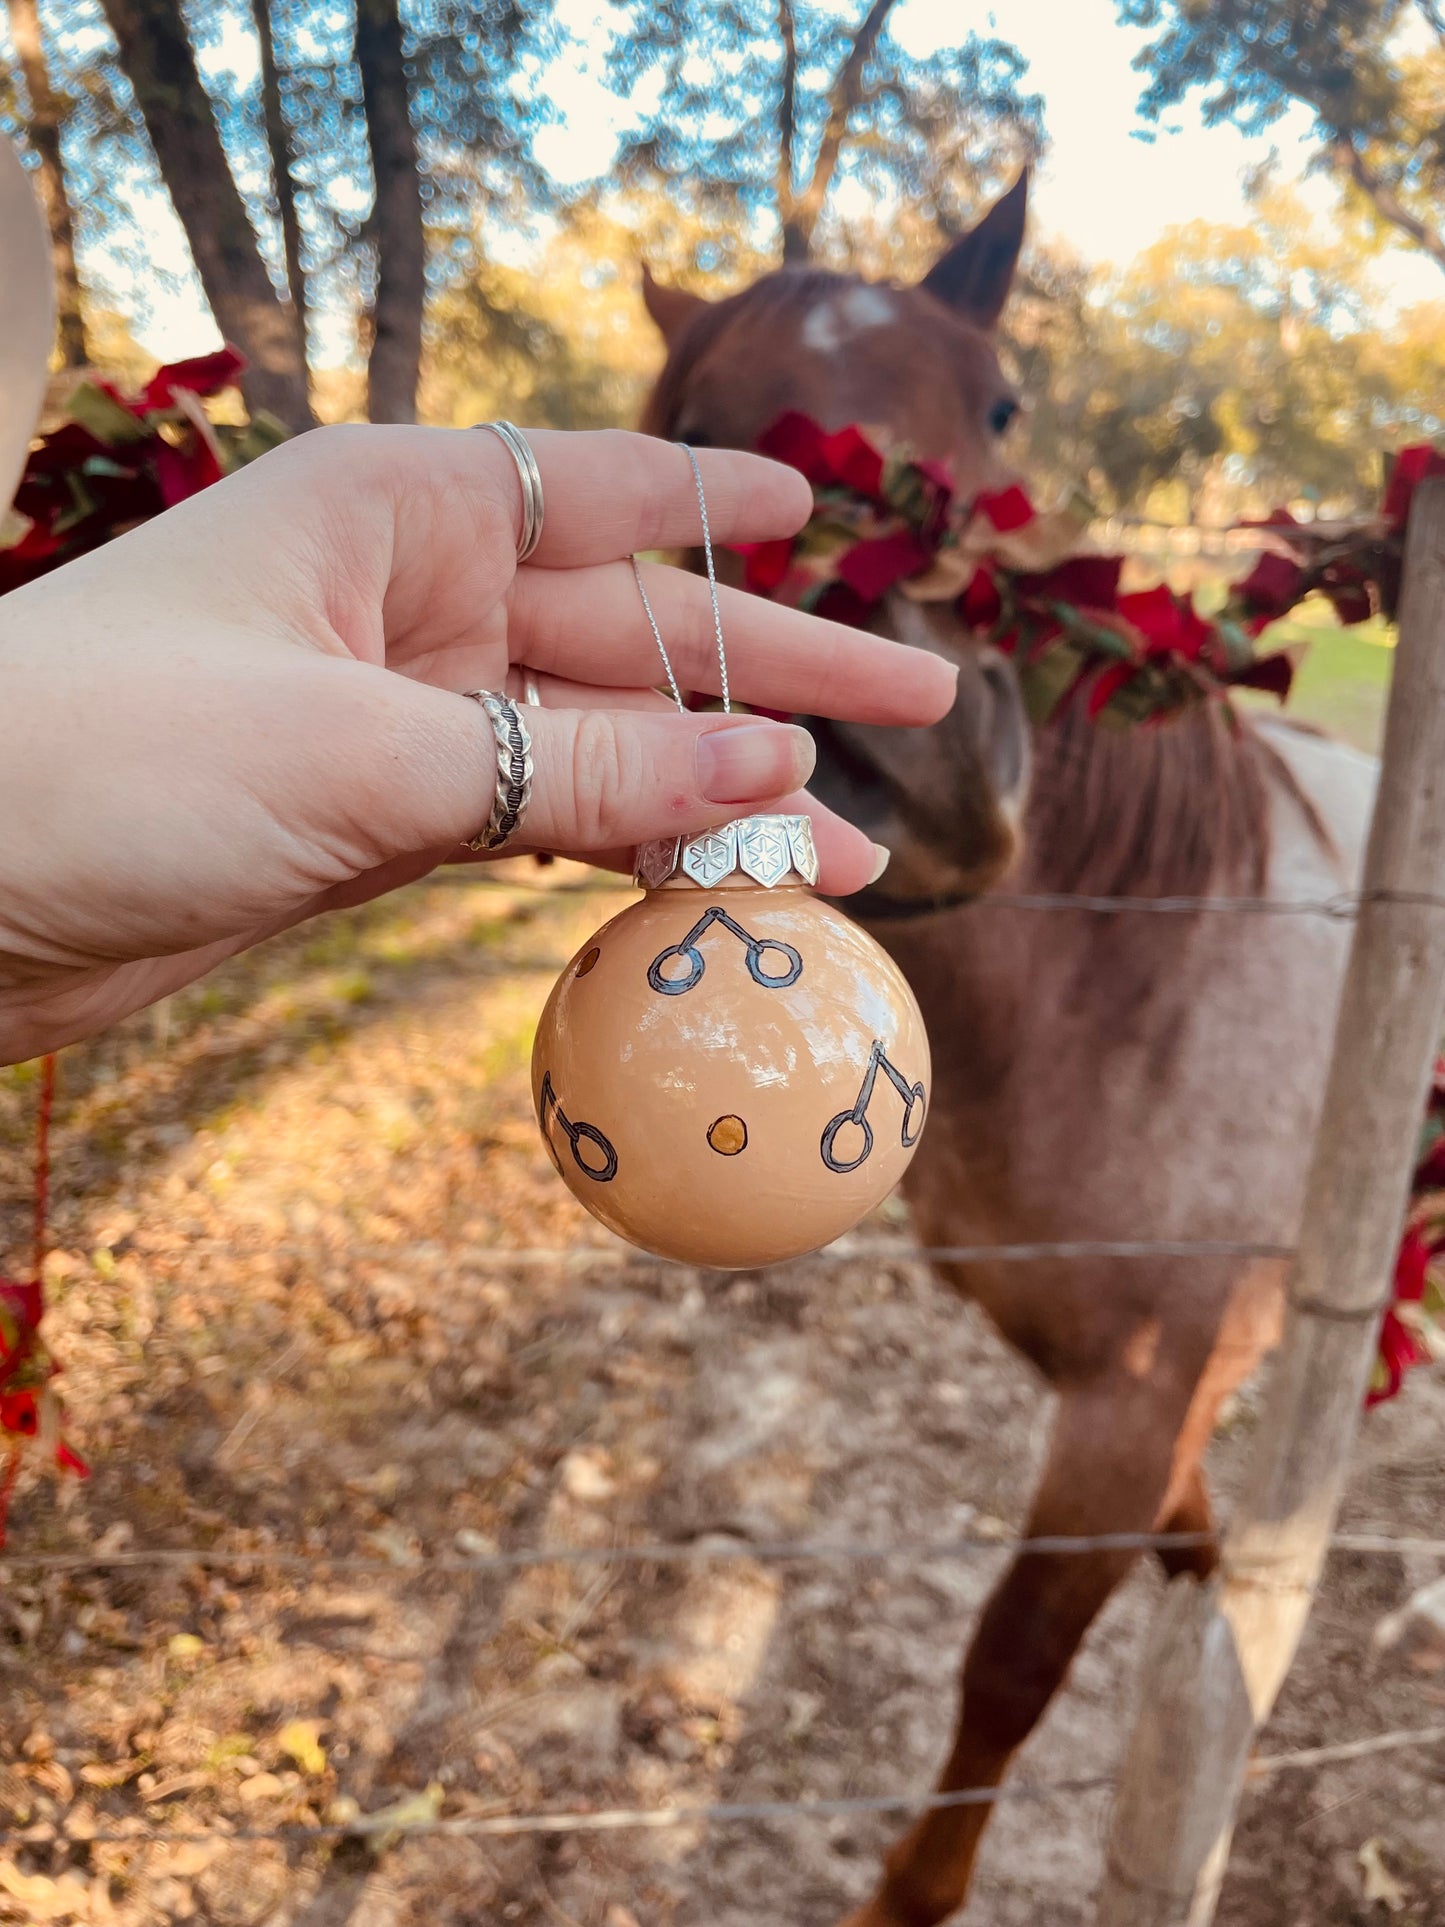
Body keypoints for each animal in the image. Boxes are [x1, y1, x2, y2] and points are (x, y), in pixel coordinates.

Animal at [643, 173, 1379, 1919]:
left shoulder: (1127, 1399)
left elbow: (1012, 1660)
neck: (1137, 972)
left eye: (999, 406)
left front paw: (913, 1887)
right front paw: (1212, 1592)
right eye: (687, 428)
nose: (905, 767)